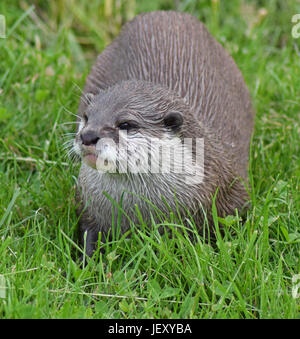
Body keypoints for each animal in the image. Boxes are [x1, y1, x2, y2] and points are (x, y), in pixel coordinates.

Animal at [72, 11, 253, 258]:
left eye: (126, 124)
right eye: (86, 117)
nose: (88, 136)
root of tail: (165, 13)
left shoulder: (232, 195)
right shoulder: (87, 206)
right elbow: (88, 234)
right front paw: (86, 262)